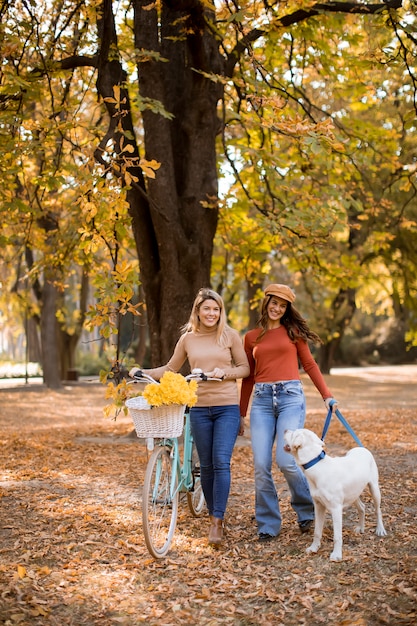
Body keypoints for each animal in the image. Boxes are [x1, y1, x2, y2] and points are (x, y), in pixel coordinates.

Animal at [282, 426, 386, 560]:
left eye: (293, 433)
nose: (284, 430)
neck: (316, 465)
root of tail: (362, 448)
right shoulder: (318, 506)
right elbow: (317, 531)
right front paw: (314, 548)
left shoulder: (336, 509)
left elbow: (337, 536)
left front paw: (336, 555)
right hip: (353, 493)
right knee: (362, 507)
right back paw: (361, 528)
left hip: (374, 488)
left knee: (378, 510)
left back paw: (380, 529)